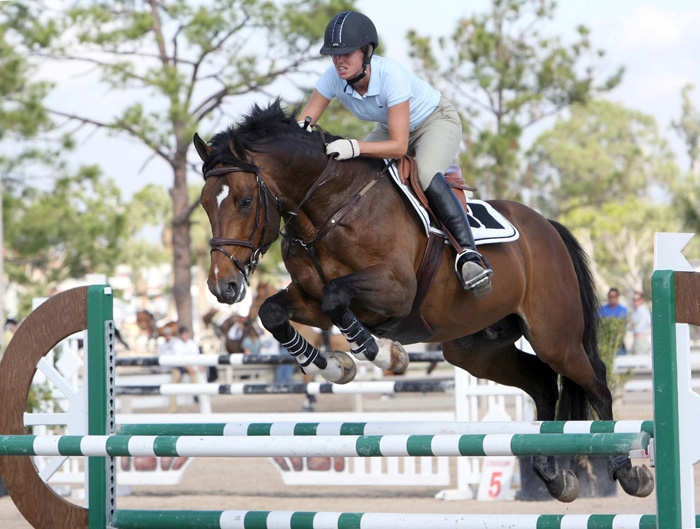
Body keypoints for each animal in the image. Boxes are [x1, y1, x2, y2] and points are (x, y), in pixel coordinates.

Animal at [194, 100, 652, 504]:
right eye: (204, 203)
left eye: (245, 201)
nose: (223, 287)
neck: (331, 207)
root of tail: (548, 227)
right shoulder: (308, 300)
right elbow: (274, 312)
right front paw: (332, 366)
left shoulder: (395, 291)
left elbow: (338, 297)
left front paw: (384, 355)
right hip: (475, 348)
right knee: (541, 381)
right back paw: (553, 476)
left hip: (555, 337)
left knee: (596, 381)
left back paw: (629, 472)